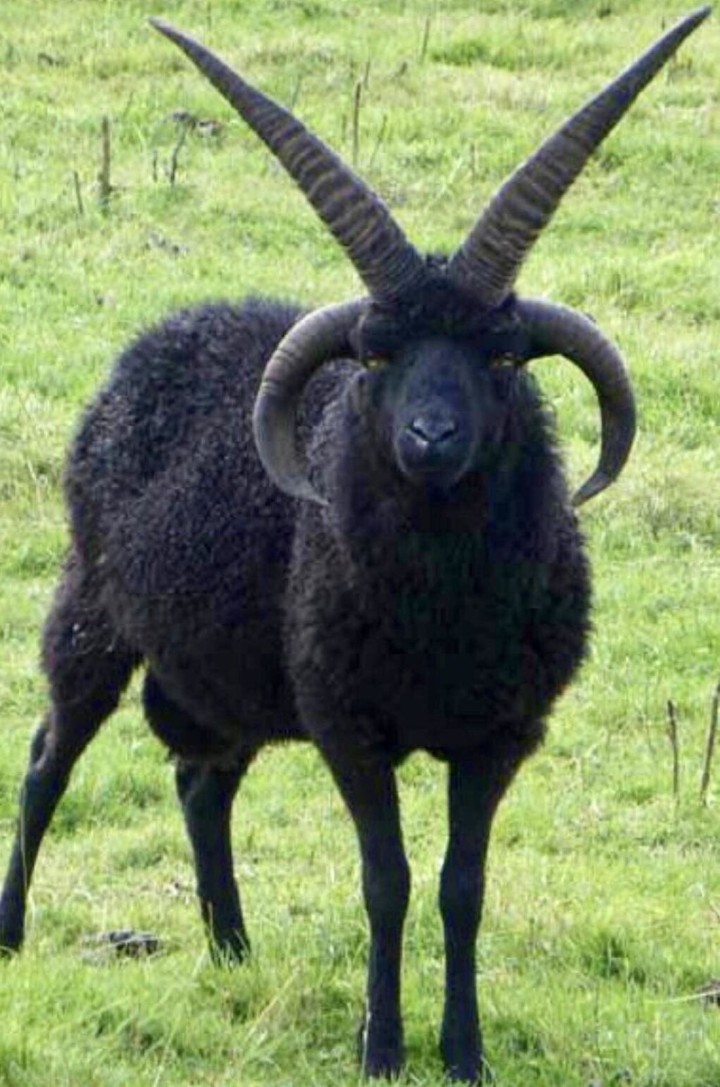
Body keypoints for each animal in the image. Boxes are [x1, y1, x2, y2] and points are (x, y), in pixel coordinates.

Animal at [0, 8, 709, 1082]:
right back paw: (10, 934)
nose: (430, 437)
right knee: (50, 756)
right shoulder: (348, 726)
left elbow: (461, 886)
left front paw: (464, 1051)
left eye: (502, 356)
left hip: (239, 673)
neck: (444, 611)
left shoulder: (501, 734)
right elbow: (388, 880)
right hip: (93, 610)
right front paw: (382, 1045)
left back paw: (233, 947)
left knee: (201, 783)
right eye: (377, 355)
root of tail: (165, 333)